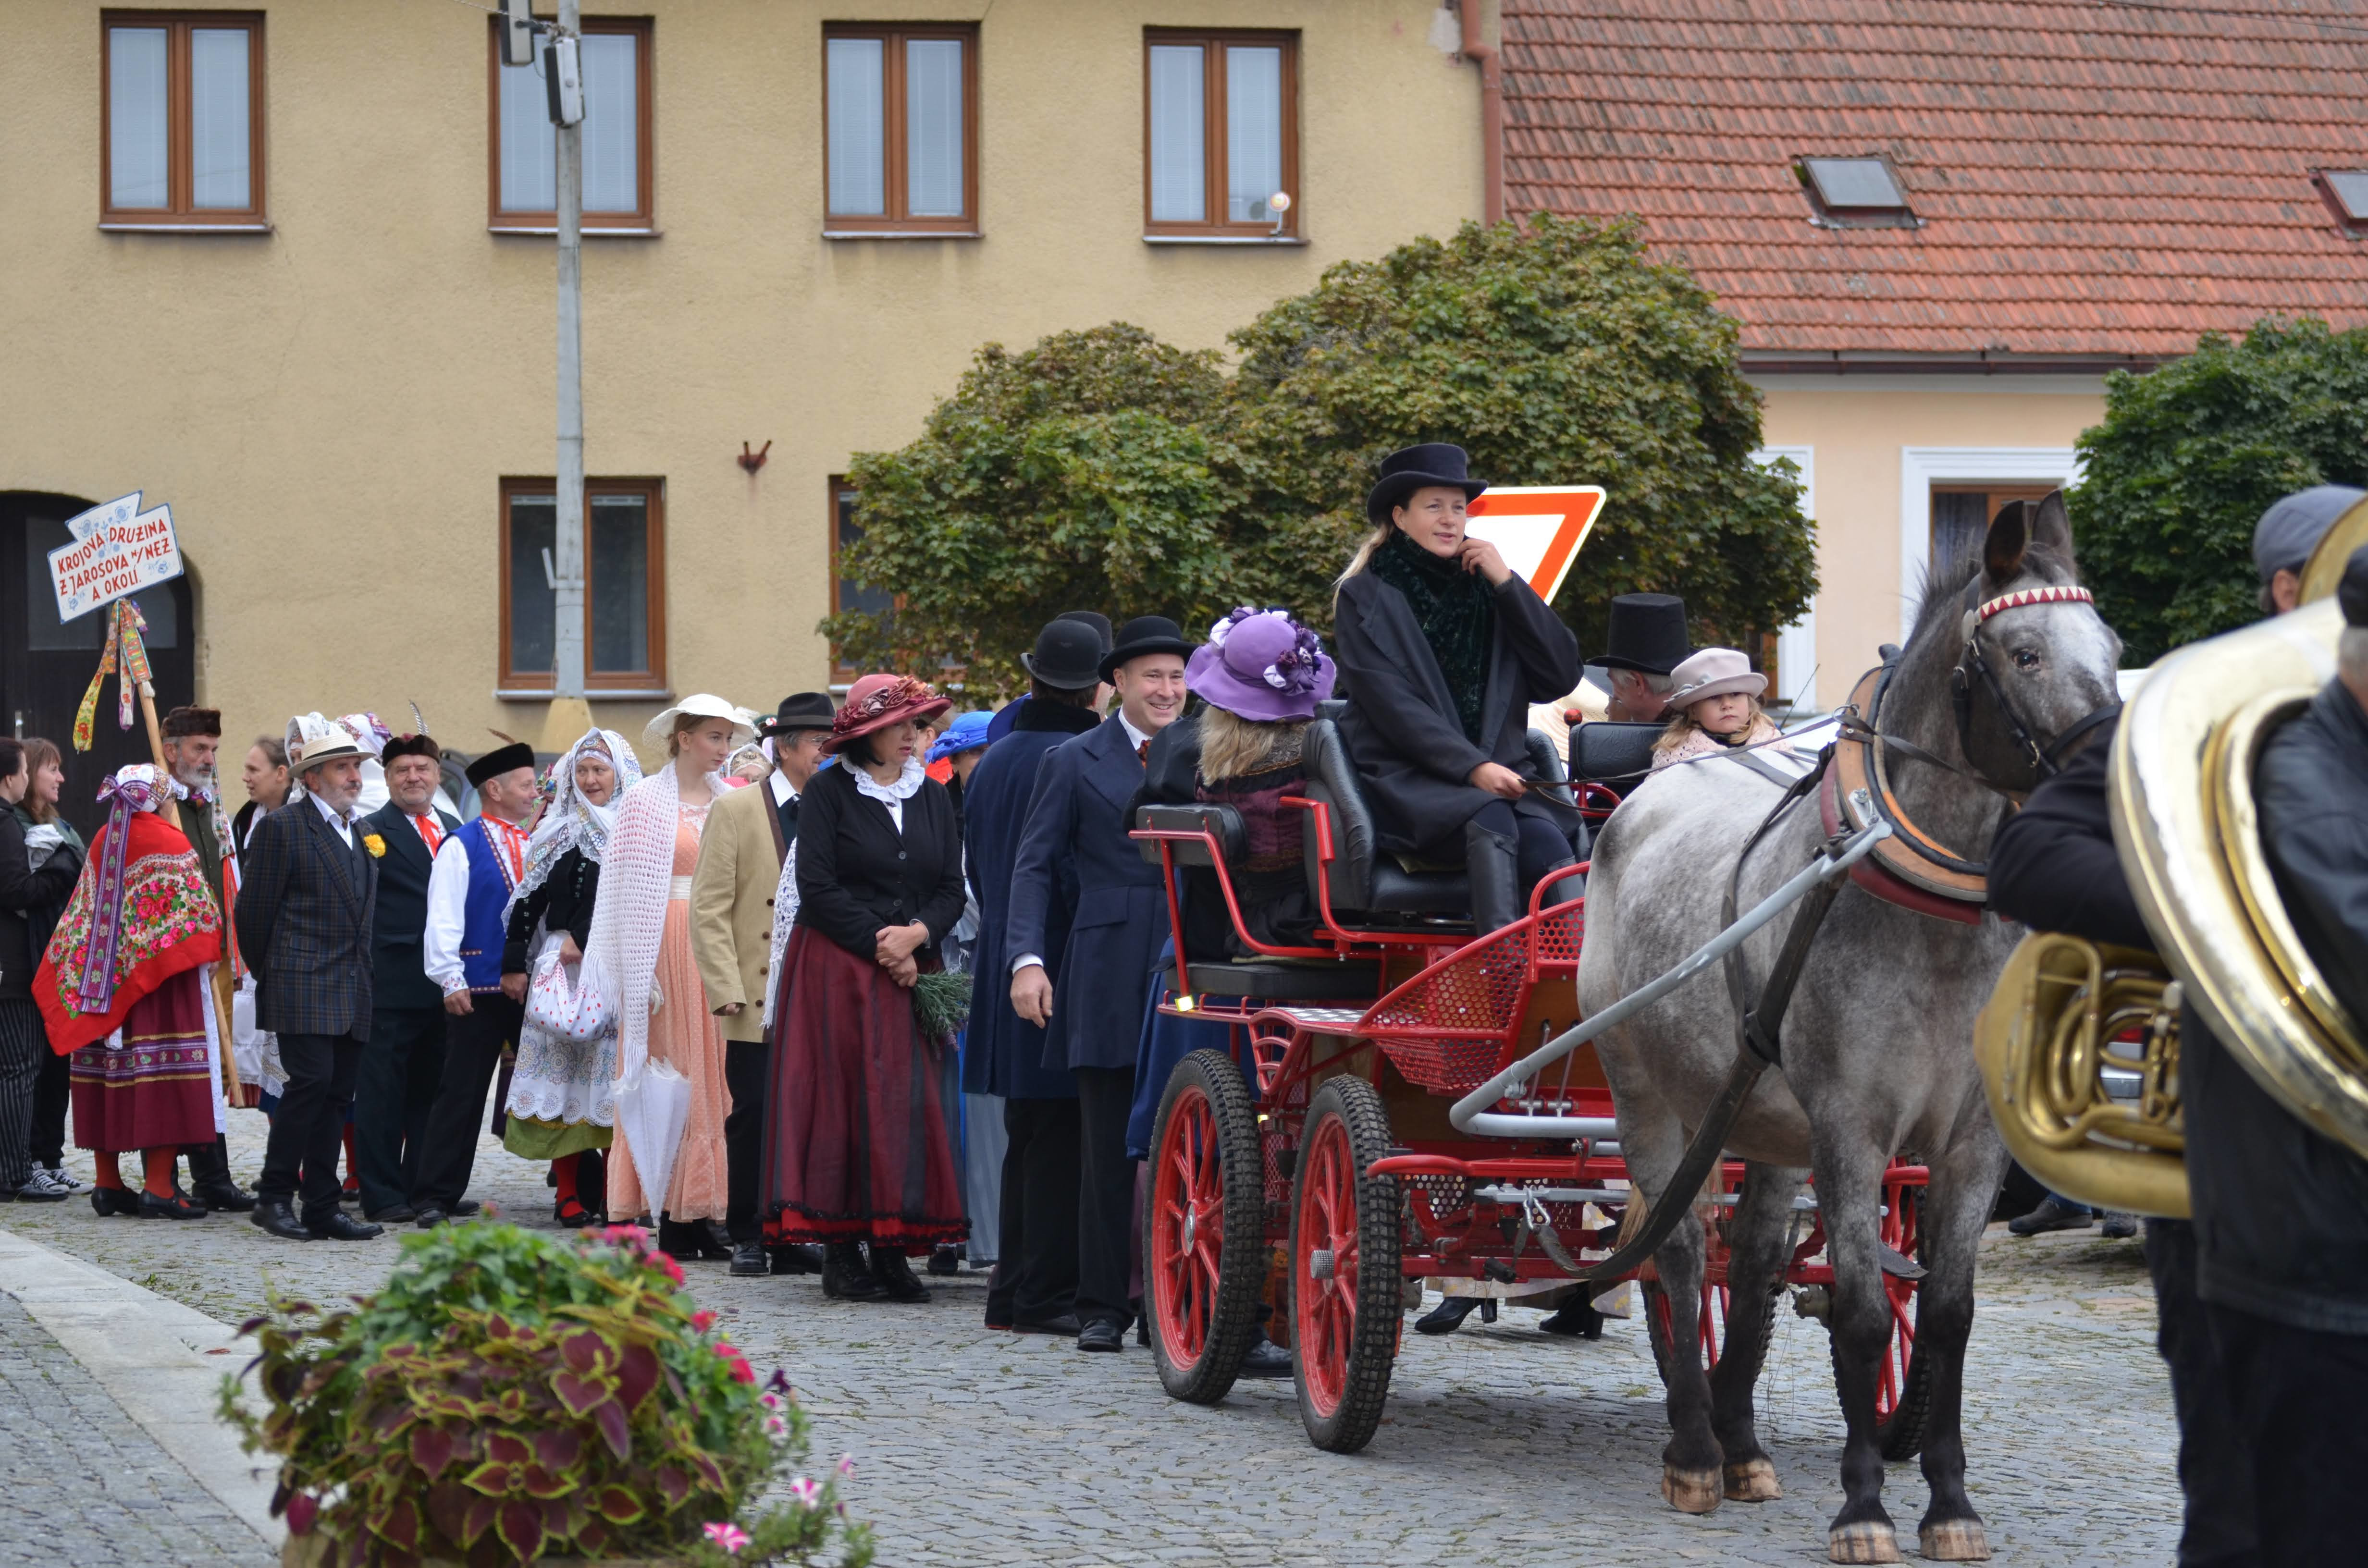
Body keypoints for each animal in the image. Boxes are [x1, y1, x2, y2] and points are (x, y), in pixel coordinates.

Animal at [1581, 497, 2121, 1563]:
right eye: (2026, 652)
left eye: (2114, 648)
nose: (2112, 779)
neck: (1930, 911)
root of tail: (1637, 802)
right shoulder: (1851, 1129)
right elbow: (1867, 1317)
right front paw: (1863, 1507)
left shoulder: (1971, 1142)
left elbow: (1944, 1314)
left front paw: (1948, 1504)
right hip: (1644, 1091)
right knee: (1677, 1252)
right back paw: (1694, 1452)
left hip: (1759, 1119)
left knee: (1745, 1266)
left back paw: (1742, 1445)